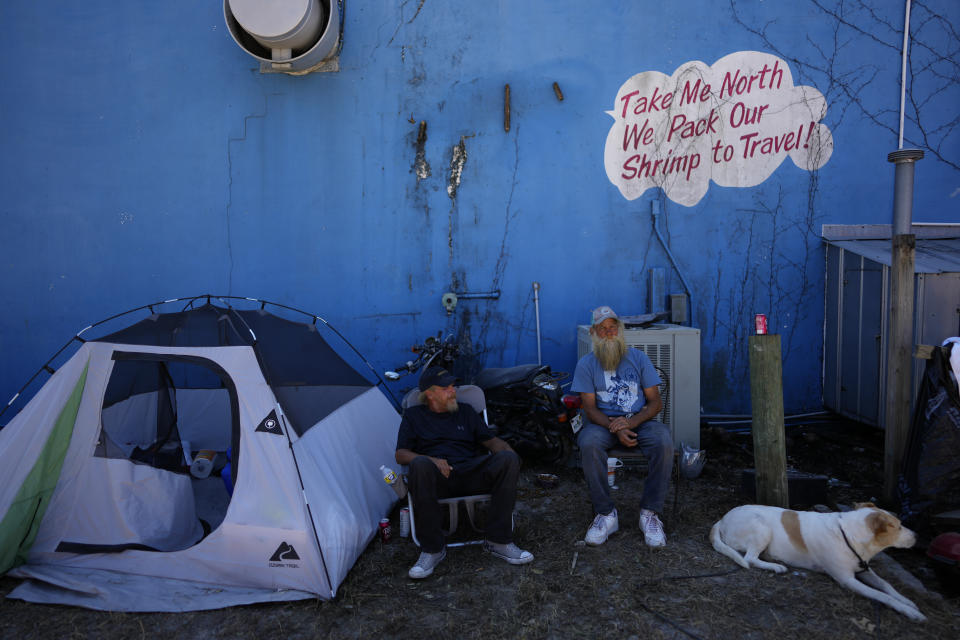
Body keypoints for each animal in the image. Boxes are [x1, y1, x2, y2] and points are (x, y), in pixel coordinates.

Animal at [708, 504, 928, 620]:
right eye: (899, 527)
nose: (918, 536)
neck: (849, 534)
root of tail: (722, 519)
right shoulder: (848, 580)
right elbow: (881, 595)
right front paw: (909, 611)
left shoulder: (863, 568)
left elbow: (886, 585)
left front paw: (907, 601)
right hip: (761, 527)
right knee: (750, 559)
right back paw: (776, 566)